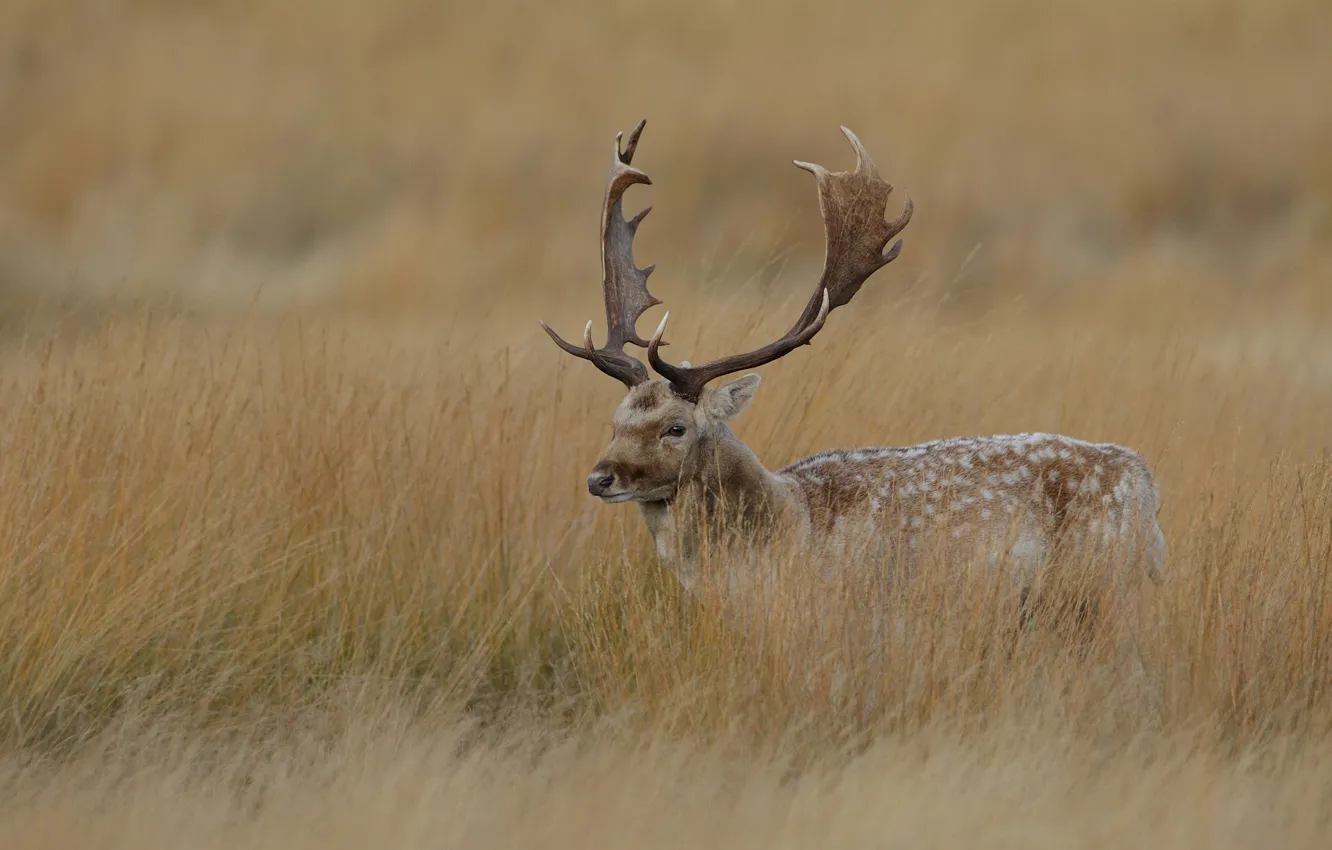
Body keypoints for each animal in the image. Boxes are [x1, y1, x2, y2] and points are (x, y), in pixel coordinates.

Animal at [540, 119, 1166, 639]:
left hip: (1100, 584)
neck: (783, 532)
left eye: (676, 428)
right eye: (616, 421)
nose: (600, 477)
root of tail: (1144, 481)